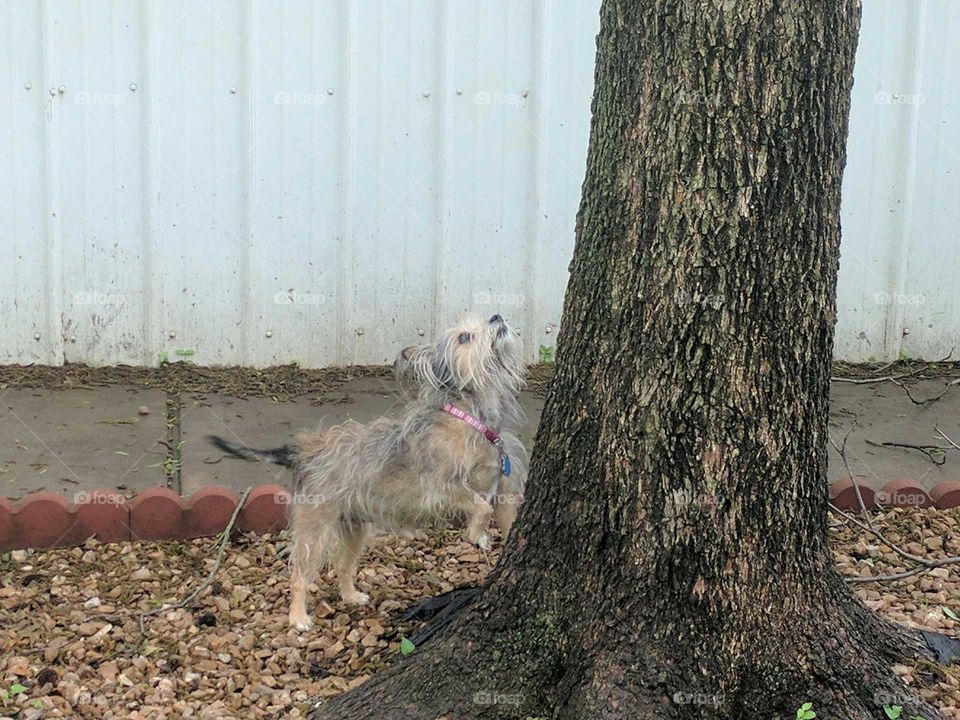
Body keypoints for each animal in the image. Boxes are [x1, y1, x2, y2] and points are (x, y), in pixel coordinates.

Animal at [210, 312, 528, 628]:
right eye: (464, 337)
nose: (496, 316)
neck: (472, 418)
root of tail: (306, 450)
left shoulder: (503, 490)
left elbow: (503, 517)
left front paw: (491, 538)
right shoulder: (440, 487)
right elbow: (480, 506)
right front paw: (475, 533)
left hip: (354, 528)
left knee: (343, 565)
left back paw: (351, 596)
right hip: (315, 528)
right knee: (300, 574)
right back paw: (298, 617)